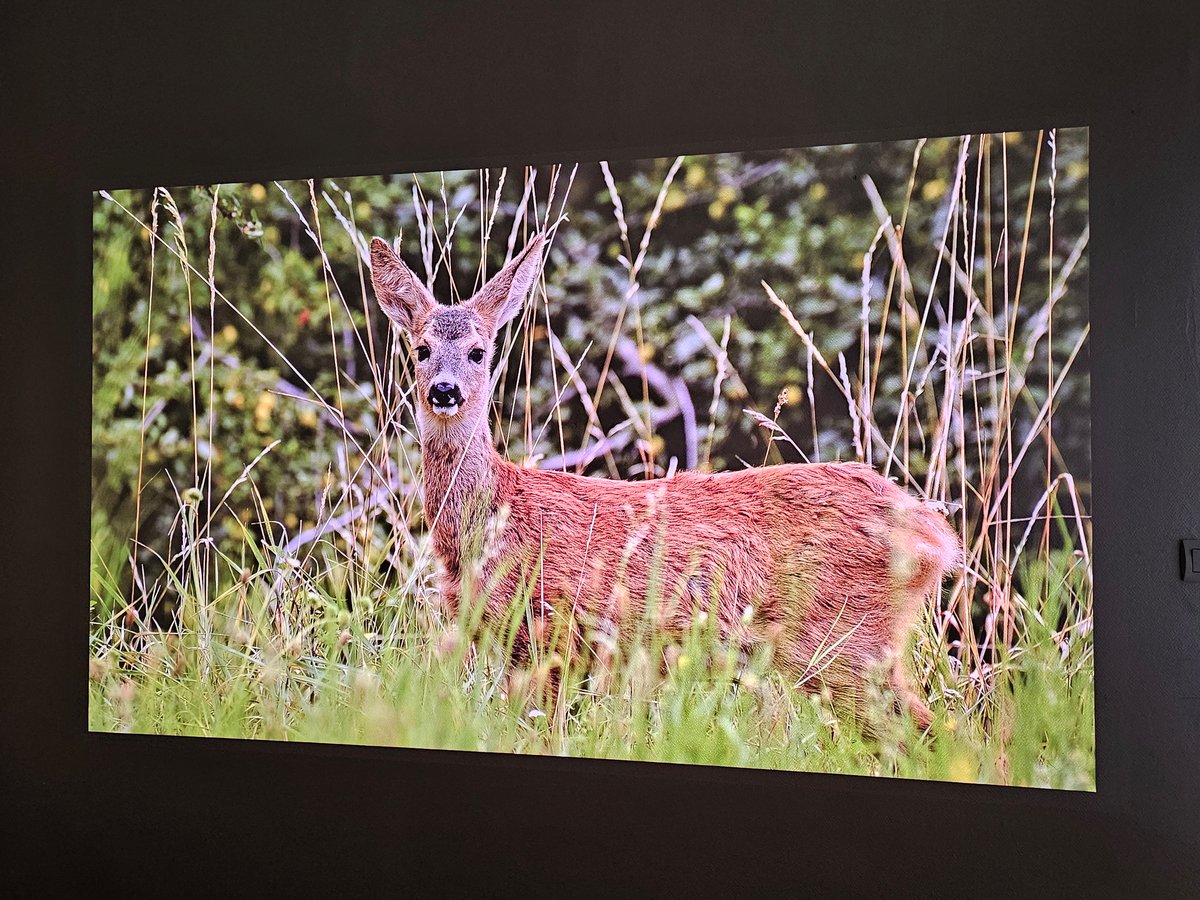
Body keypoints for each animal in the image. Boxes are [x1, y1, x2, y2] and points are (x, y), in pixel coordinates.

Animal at [369, 232, 960, 734]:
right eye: (420, 350)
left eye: (479, 351)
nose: (445, 391)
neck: (491, 521)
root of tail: (933, 535)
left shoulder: (550, 627)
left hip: (842, 639)